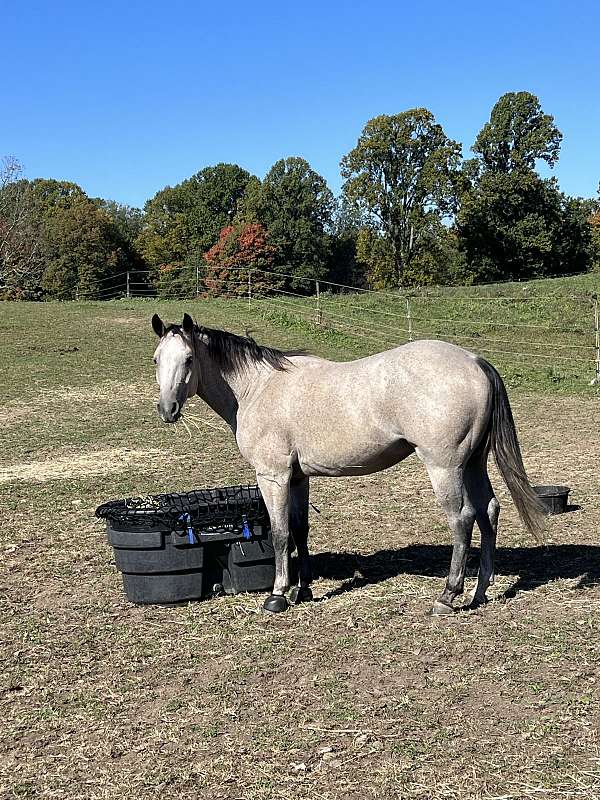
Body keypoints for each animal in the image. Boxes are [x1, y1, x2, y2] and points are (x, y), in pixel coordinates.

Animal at [150, 316, 544, 616]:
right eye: (156, 359)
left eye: (188, 358)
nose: (167, 409)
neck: (258, 388)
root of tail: (474, 360)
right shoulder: (298, 478)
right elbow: (299, 531)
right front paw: (303, 590)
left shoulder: (273, 476)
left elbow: (280, 534)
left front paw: (277, 596)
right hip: (473, 463)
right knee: (488, 511)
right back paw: (479, 592)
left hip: (445, 468)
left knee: (463, 519)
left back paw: (448, 596)